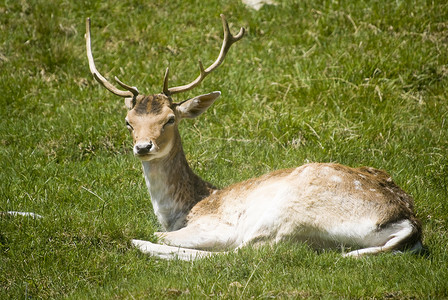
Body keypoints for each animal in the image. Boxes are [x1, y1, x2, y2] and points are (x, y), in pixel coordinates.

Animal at [85, 14, 424, 260]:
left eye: (169, 119)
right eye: (128, 122)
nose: (143, 146)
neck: (188, 207)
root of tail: (408, 223)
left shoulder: (216, 226)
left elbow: (172, 236)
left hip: (288, 213)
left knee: (241, 254)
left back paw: (138, 243)